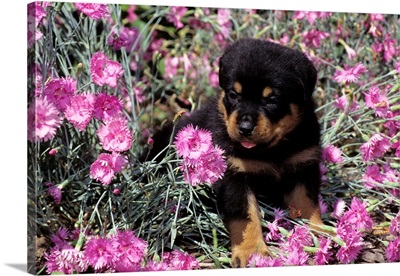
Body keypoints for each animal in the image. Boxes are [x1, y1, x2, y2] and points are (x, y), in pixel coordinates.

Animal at [147, 38, 324, 268]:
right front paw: (253, 253)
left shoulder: (303, 164)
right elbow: (246, 216)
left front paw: (320, 234)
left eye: (272, 99)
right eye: (233, 95)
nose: (245, 127)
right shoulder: (234, 174)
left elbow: (307, 204)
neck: (273, 150)